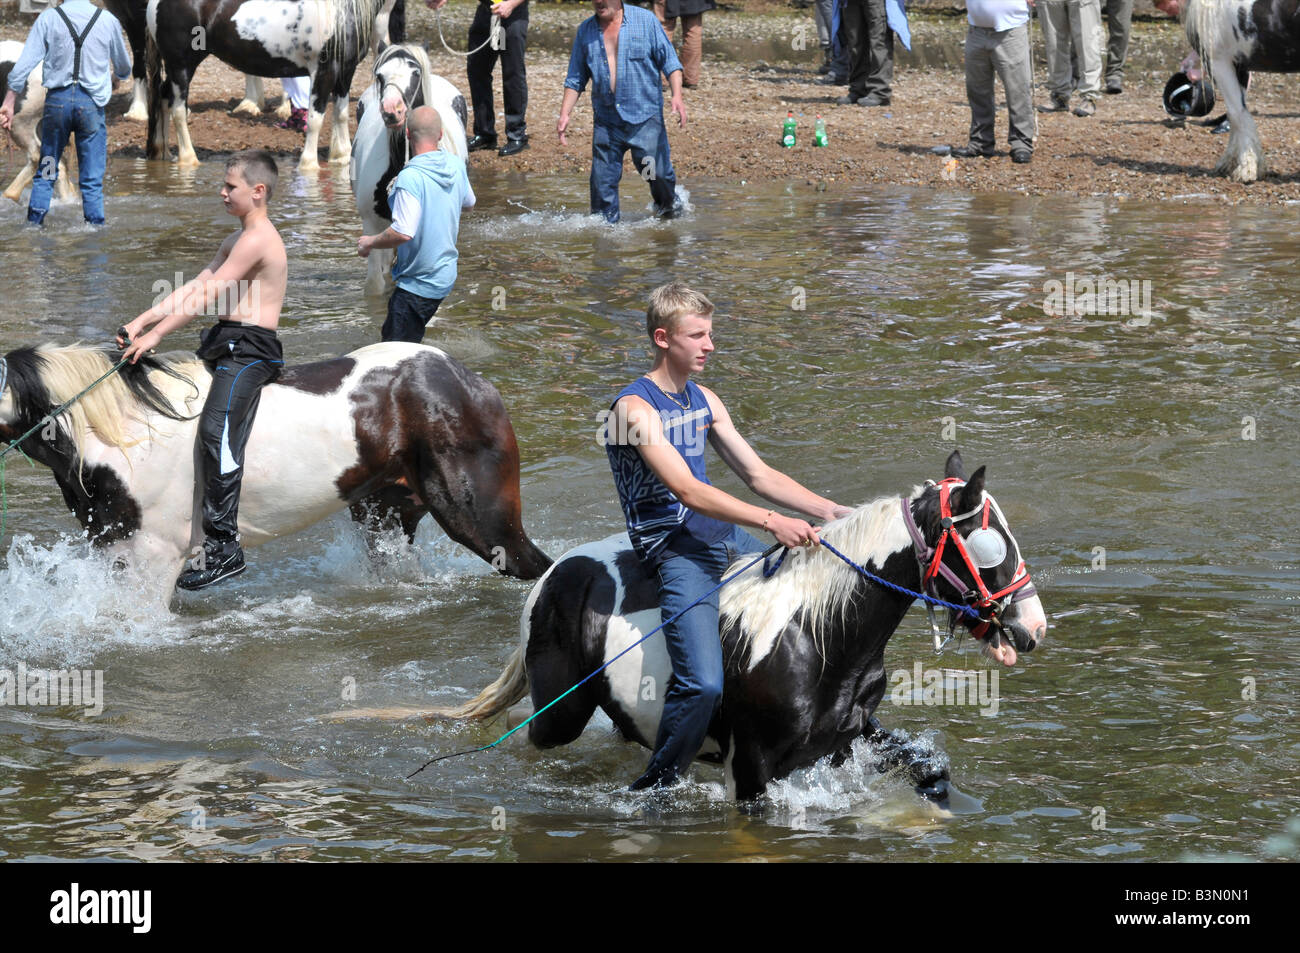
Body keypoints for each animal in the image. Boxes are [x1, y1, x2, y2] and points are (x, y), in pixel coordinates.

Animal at [0, 342, 552, 606]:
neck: (126, 432)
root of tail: (469, 381)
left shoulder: (155, 554)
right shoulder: (111, 546)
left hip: (480, 520)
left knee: (534, 565)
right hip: (384, 514)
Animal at [145, 0, 399, 170]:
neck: (341, 12)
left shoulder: (345, 73)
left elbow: (341, 115)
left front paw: (342, 157)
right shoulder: (324, 72)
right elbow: (316, 120)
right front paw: (309, 163)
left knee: (163, 100)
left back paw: (163, 153)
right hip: (181, 66)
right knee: (178, 110)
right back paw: (189, 158)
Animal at [401, 452, 1047, 803]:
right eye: (987, 543)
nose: (1031, 627)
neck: (818, 636)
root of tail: (557, 572)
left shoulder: (847, 741)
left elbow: (927, 770)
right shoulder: (754, 769)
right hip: (561, 712)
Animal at [1181, 0, 1300, 182]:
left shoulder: (1219, 63)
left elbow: (1237, 113)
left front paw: (1246, 169)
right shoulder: (1240, 67)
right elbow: (1237, 115)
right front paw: (1231, 163)